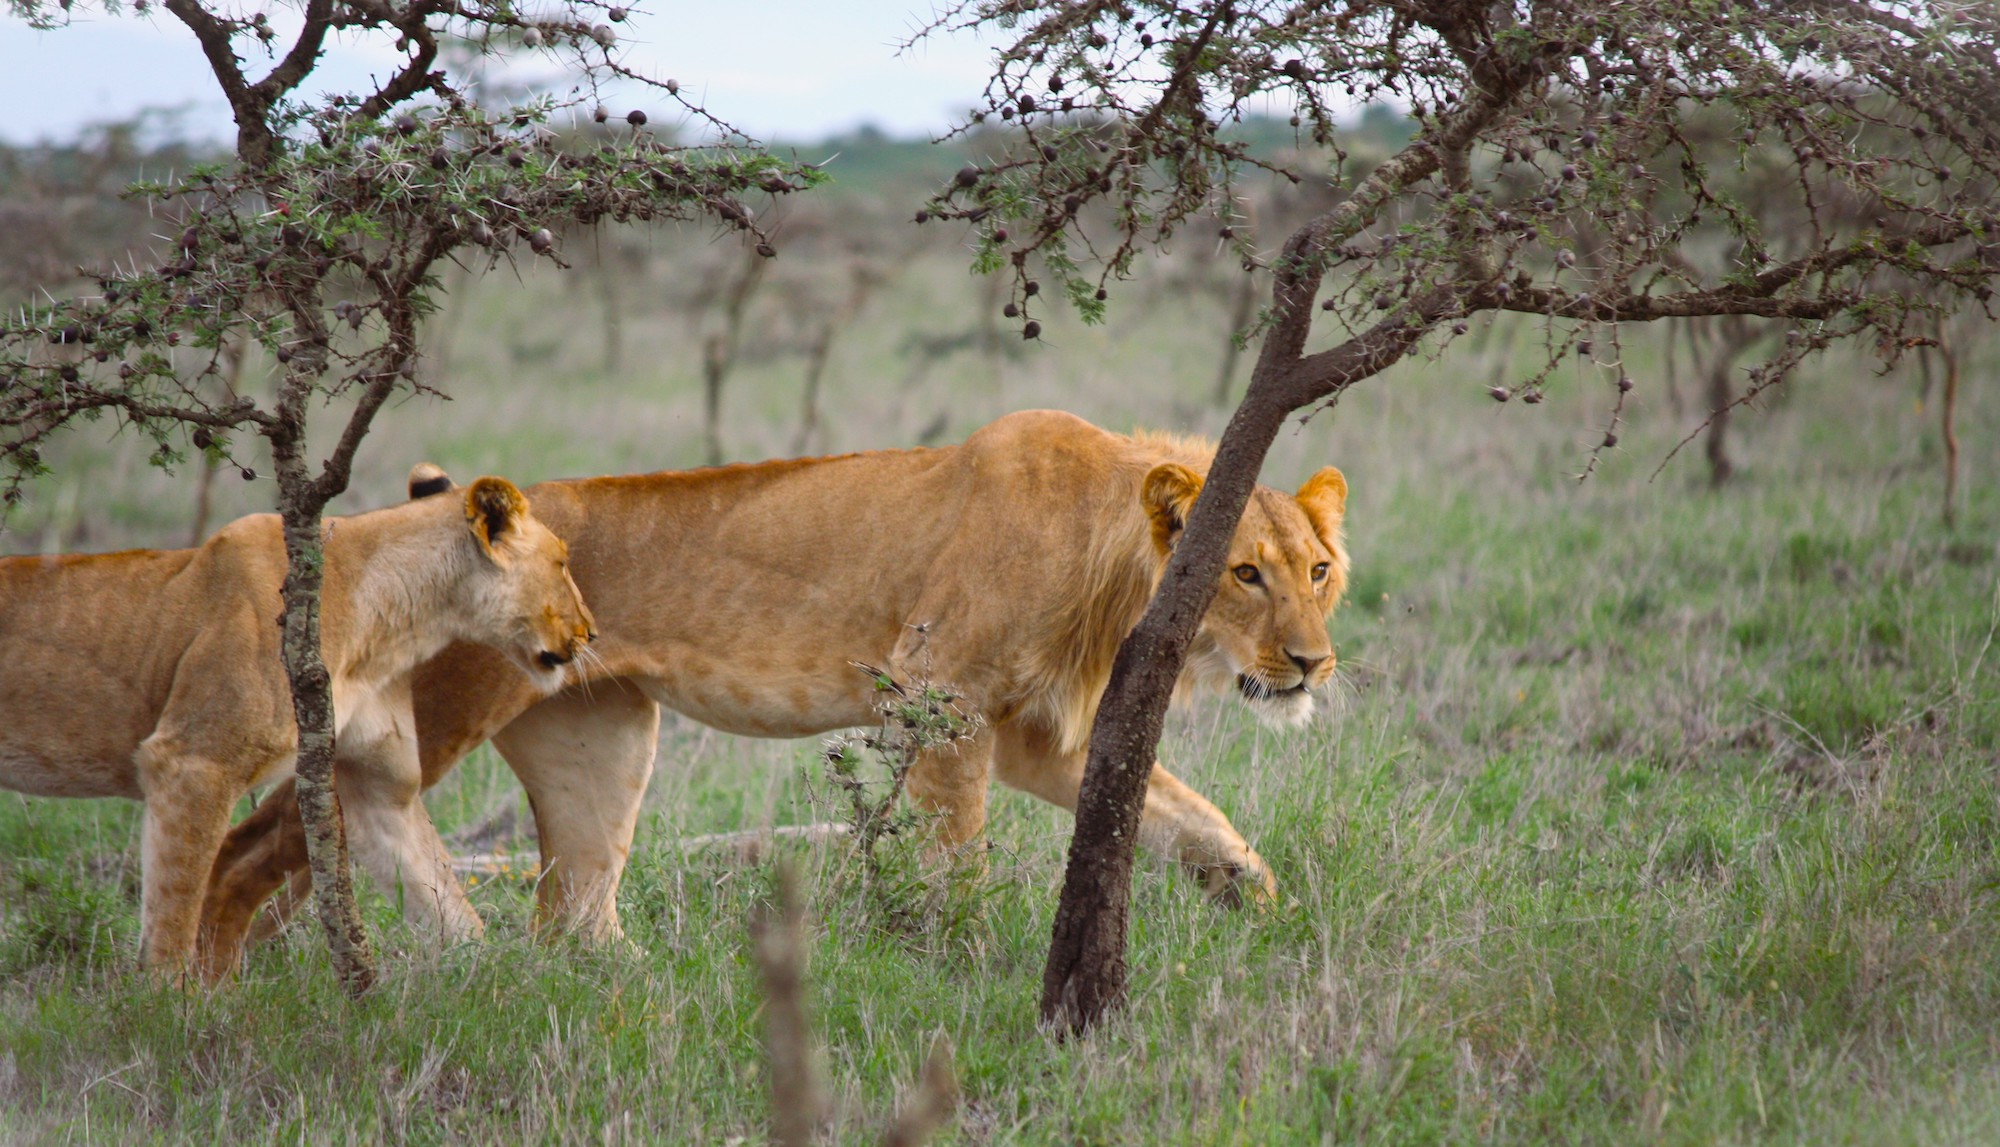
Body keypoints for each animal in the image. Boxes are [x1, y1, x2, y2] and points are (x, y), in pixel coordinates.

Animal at [0, 475, 592, 979]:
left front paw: (502, 986)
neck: (391, 619)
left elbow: (444, 900)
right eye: (562, 562)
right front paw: (170, 1019)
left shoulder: (379, 784)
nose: (592, 631)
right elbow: (173, 916)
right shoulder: (191, 763)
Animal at [203, 409, 1352, 967]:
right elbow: (958, 857)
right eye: (1243, 574)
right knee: (270, 838)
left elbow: (1179, 809)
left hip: (600, 737)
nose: (1311, 664)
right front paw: (966, 959)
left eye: (1316, 570)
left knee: (570, 906)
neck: (1106, 551)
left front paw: (1254, 897)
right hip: (440, 707)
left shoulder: (1032, 732)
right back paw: (214, 987)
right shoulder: (937, 694)